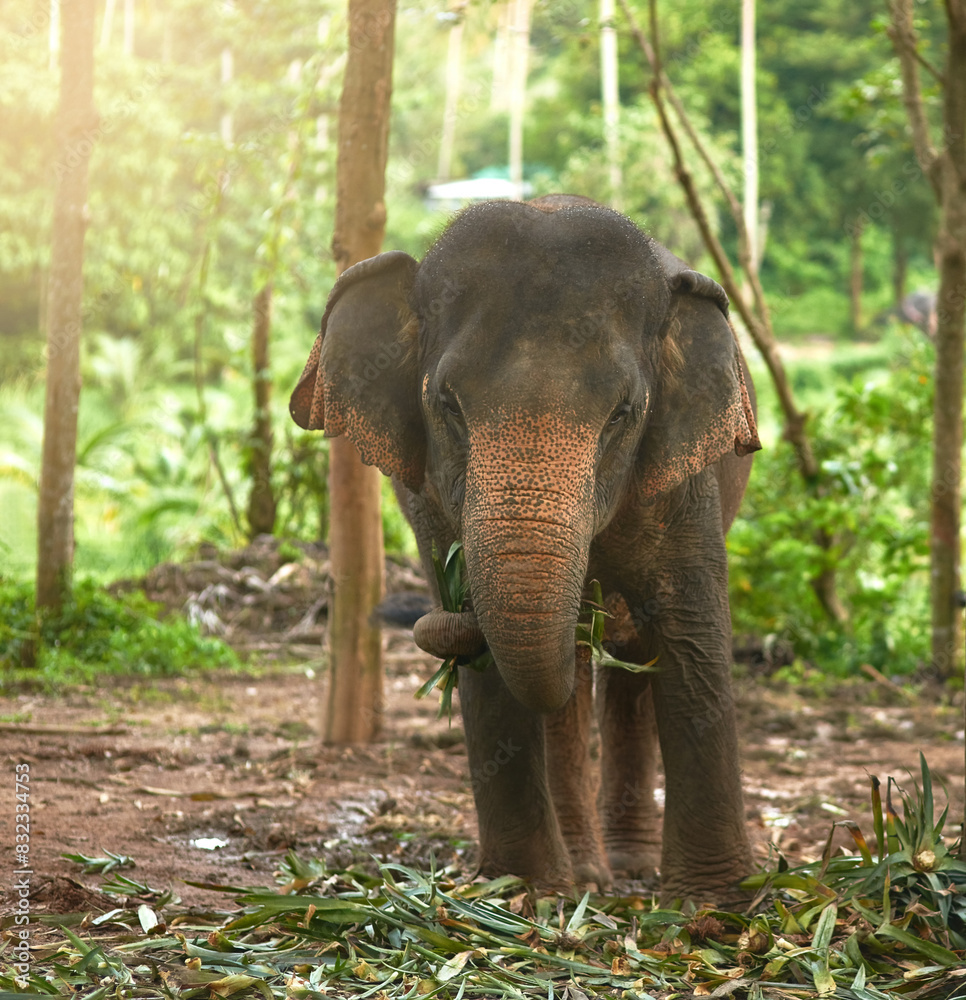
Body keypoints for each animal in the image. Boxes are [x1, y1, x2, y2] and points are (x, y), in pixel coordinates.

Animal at [290, 195, 761, 903]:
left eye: (623, 412)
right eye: (448, 404)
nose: (430, 615)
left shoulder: (686, 481)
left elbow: (692, 638)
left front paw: (718, 904)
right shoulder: (430, 498)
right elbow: (501, 674)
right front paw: (522, 892)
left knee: (628, 659)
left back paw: (627, 869)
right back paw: (587, 875)